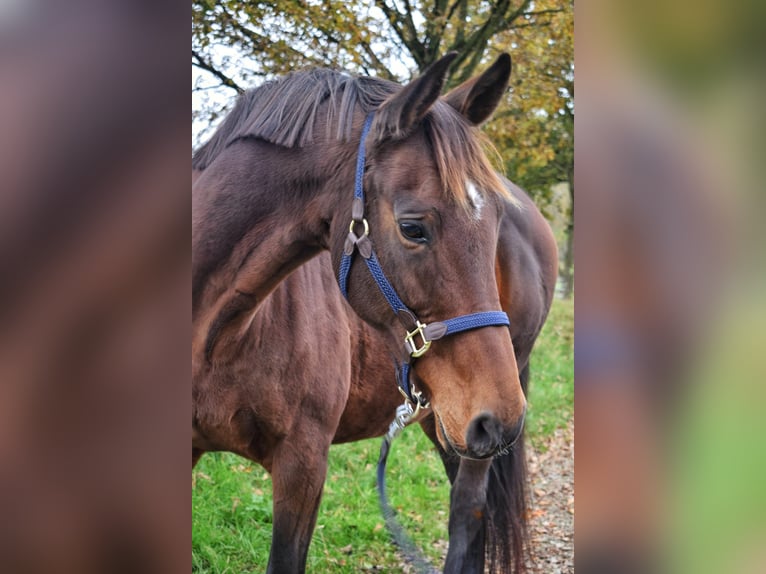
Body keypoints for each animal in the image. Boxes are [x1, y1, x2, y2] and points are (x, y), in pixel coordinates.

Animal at [192, 51, 560, 572]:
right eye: (412, 228)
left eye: (493, 227)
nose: (503, 419)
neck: (221, 336)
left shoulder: (303, 465)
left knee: (466, 511)